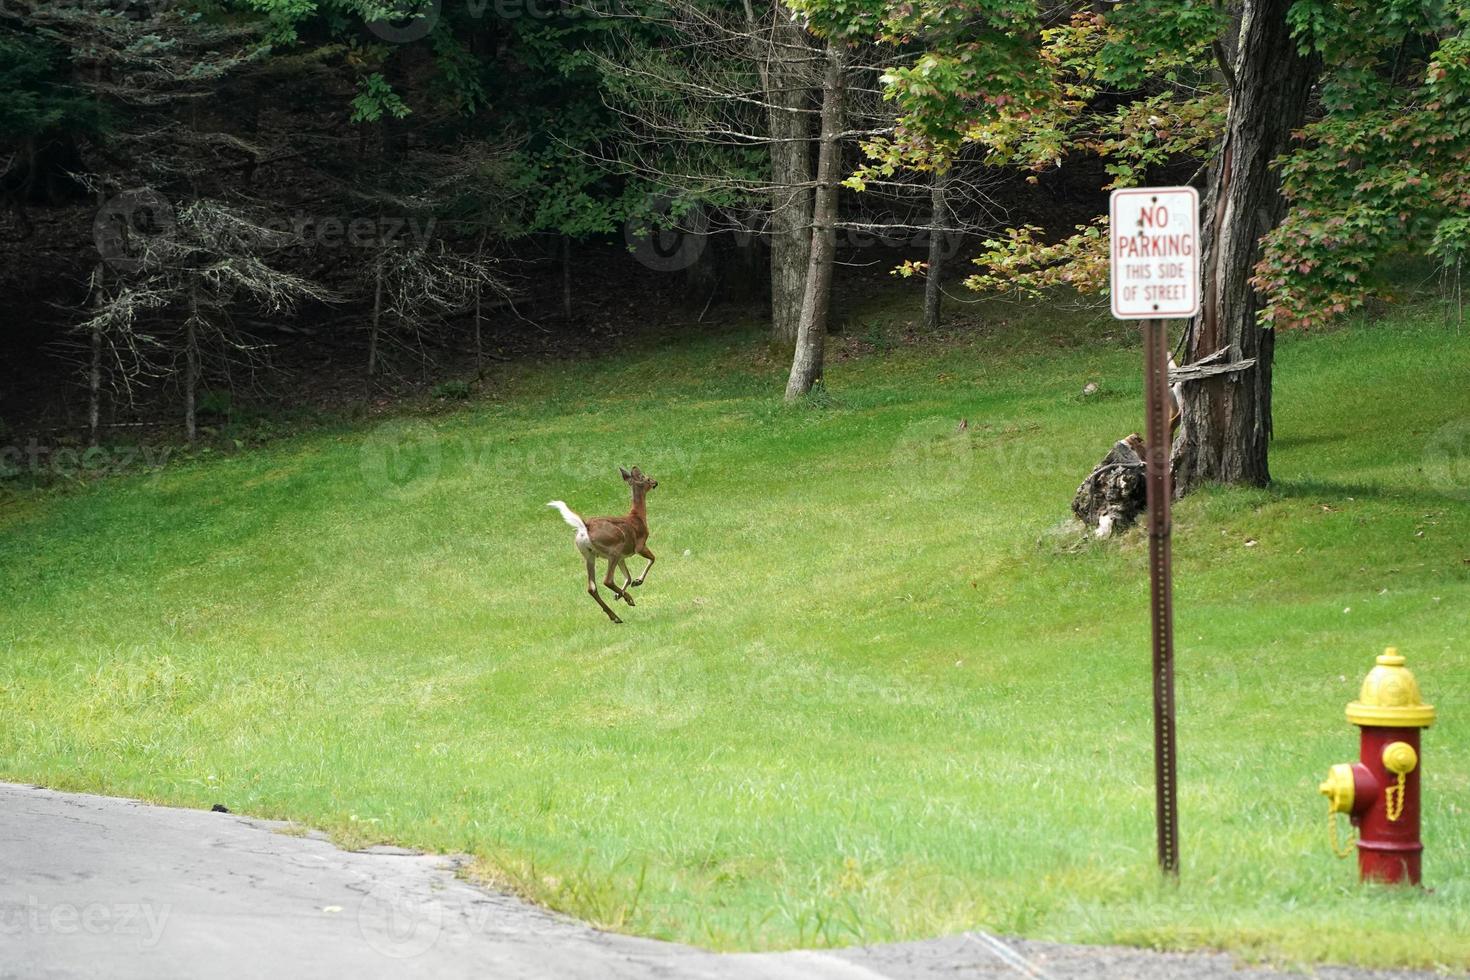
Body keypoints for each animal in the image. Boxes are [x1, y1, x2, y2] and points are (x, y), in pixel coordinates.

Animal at [549, 467, 658, 620]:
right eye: (647, 478)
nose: (655, 482)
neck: (638, 516)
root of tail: (585, 527)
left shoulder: (623, 557)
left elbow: (628, 577)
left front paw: (619, 594)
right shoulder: (639, 545)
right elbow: (652, 559)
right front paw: (638, 582)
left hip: (589, 555)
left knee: (591, 587)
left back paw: (615, 616)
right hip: (614, 549)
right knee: (607, 580)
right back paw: (628, 599)